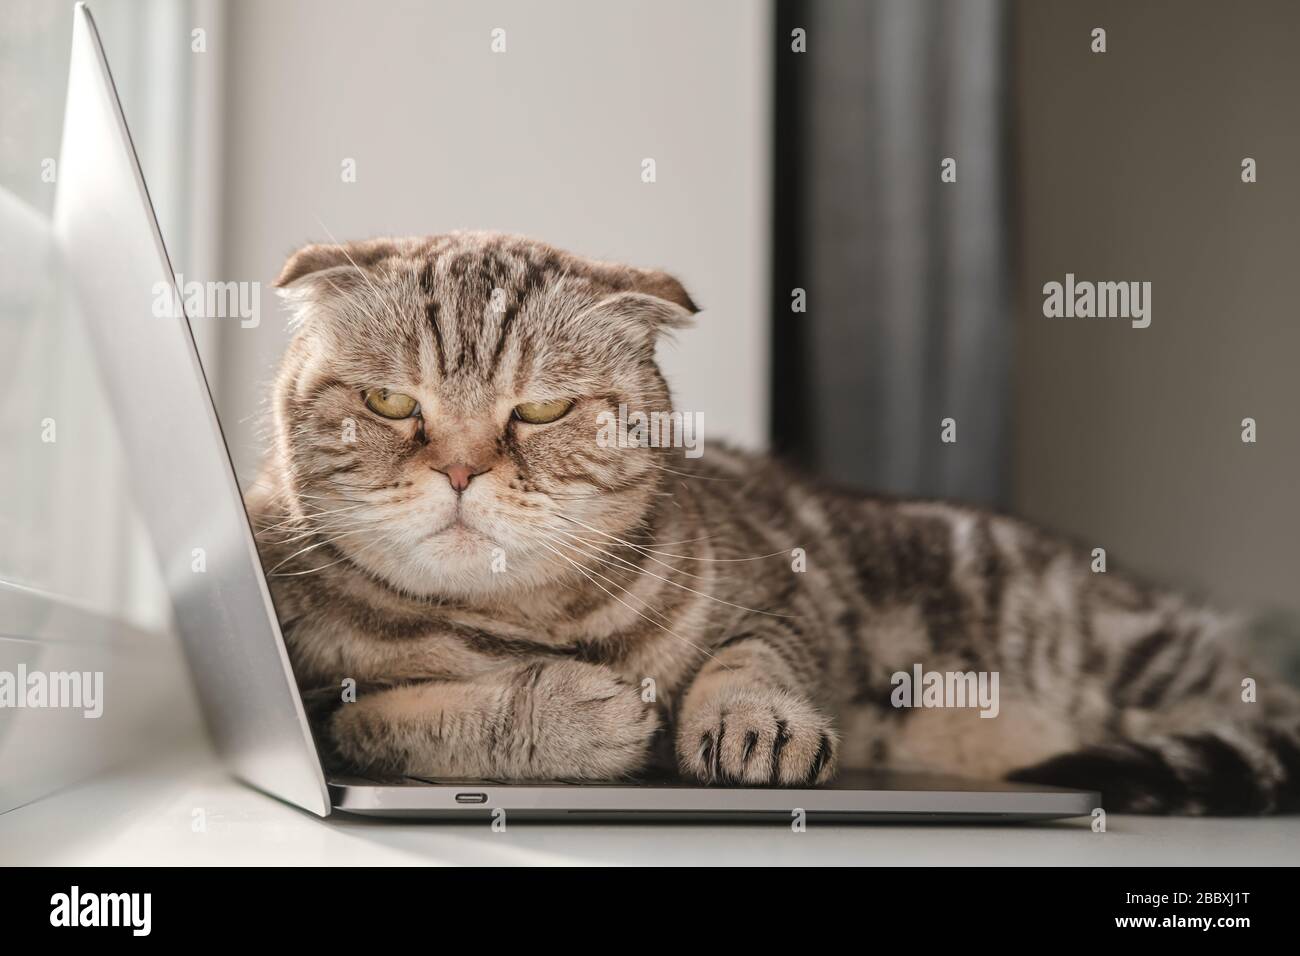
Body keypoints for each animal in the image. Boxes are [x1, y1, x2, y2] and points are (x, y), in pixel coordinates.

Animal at [245, 231, 1300, 816]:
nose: (461, 470)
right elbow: (406, 718)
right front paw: (574, 710)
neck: (520, 621)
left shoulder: (782, 588)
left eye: (541, 411)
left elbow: (753, 658)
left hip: (1125, 662)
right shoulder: (320, 702)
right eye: (389, 402)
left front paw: (752, 723)